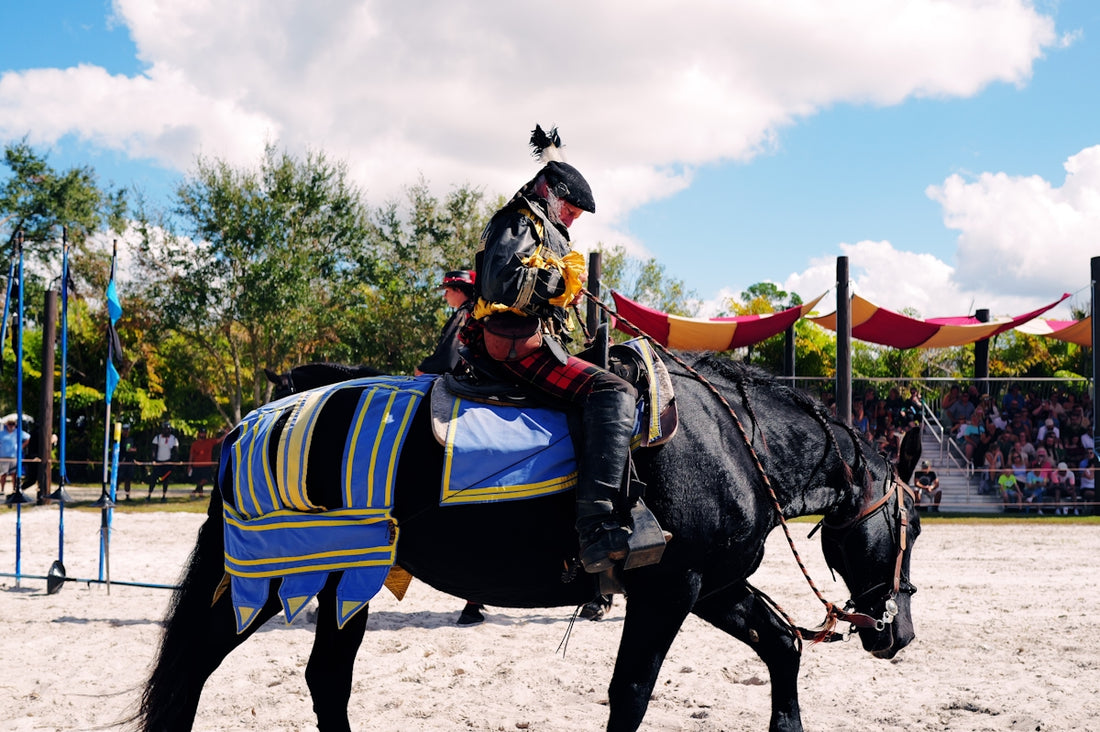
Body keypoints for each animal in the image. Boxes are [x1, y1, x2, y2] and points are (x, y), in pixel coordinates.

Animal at [138, 354, 922, 731]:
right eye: (910, 526)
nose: (900, 632)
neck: (730, 443)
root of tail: (255, 422)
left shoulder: (710, 587)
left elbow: (782, 645)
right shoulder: (669, 591)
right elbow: (630, 693)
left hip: (335, 580)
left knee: (314, 679)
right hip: (289, 573)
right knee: (203, 666)